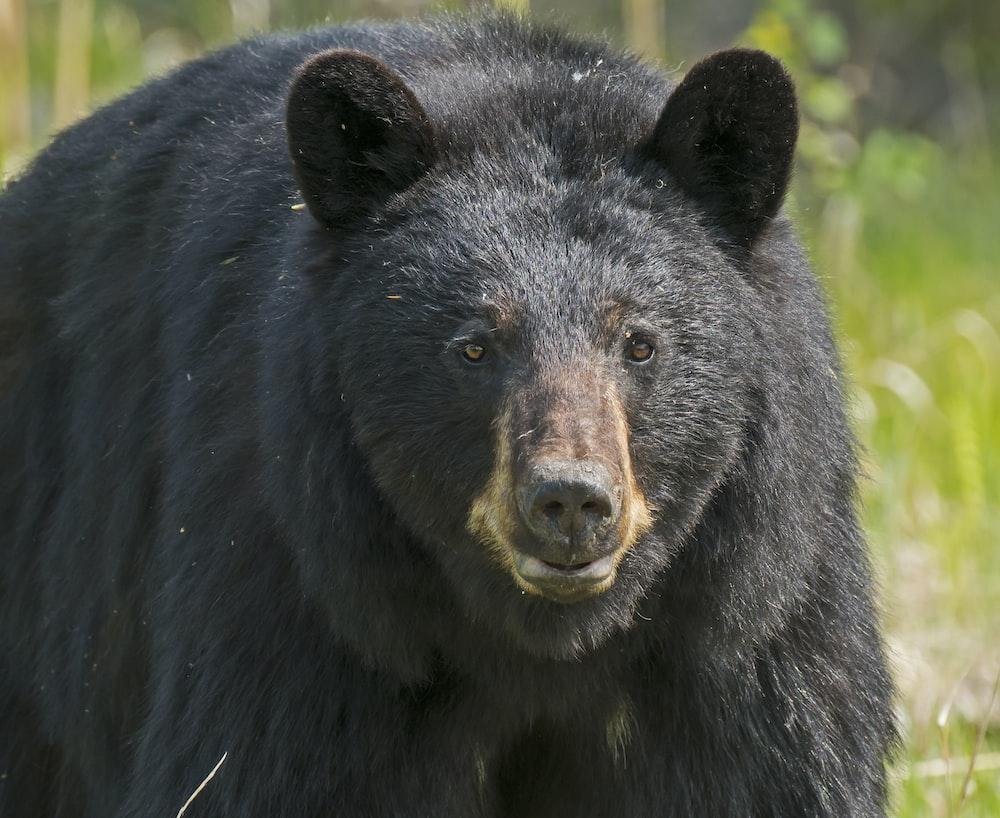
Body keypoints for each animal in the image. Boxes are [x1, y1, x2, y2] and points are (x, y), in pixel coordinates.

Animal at [0, 13, 894, 818]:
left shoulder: (745, 628)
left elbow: (776, 773)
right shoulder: (305, 592)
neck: (540, 642)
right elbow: (253, 771)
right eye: (474, 346)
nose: (571, 501)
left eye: (640, 344)